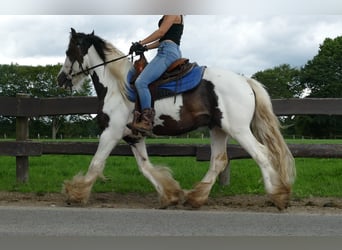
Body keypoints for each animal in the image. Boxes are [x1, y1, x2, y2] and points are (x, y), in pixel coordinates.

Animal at [57, 28, 296, 210]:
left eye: (69, 51)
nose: (61, 79)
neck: (118, 87)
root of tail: (245, 81)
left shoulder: (111, 132)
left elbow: (96, 163)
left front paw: (75, 194)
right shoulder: (134, 136)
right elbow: (145, 167)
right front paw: (170, 195)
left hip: (238, 129)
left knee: (261, 154)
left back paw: (278, 195)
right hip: (218, 129)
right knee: (219, 160)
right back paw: (196, 197)